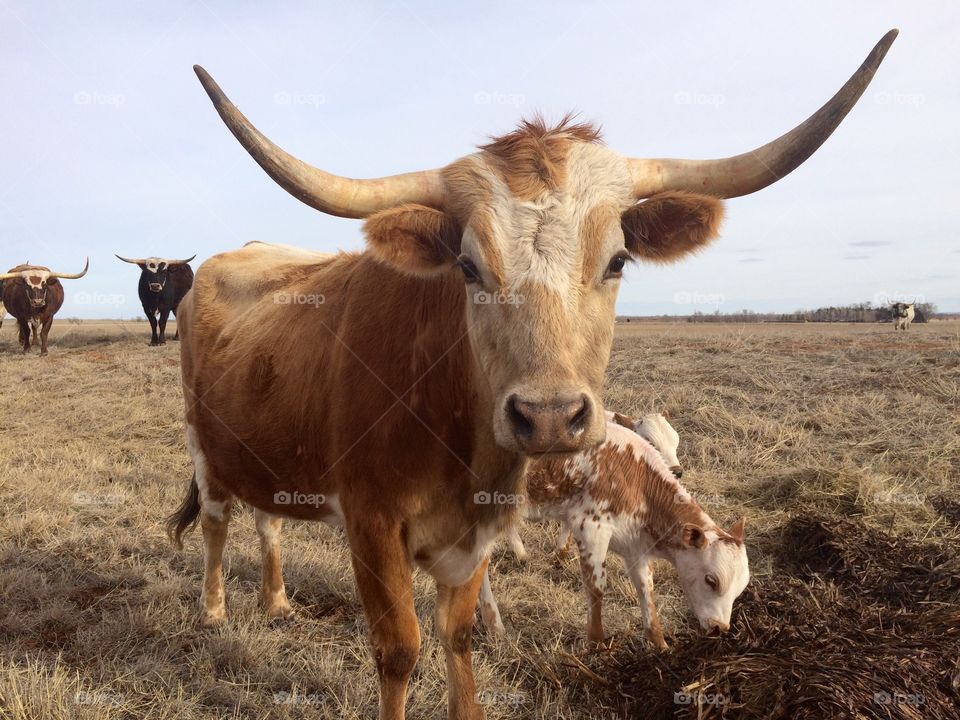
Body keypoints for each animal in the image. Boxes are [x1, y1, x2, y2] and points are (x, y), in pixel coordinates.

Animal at [480, 420, 752, 648]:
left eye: (740, 588)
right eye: (711, 580)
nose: (719, 628)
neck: (635, 477)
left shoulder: (634, 543)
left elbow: (646, 587)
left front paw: (660, 644)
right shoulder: (590, 528)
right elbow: (596, 587)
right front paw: (597, 644)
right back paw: (495, 626)